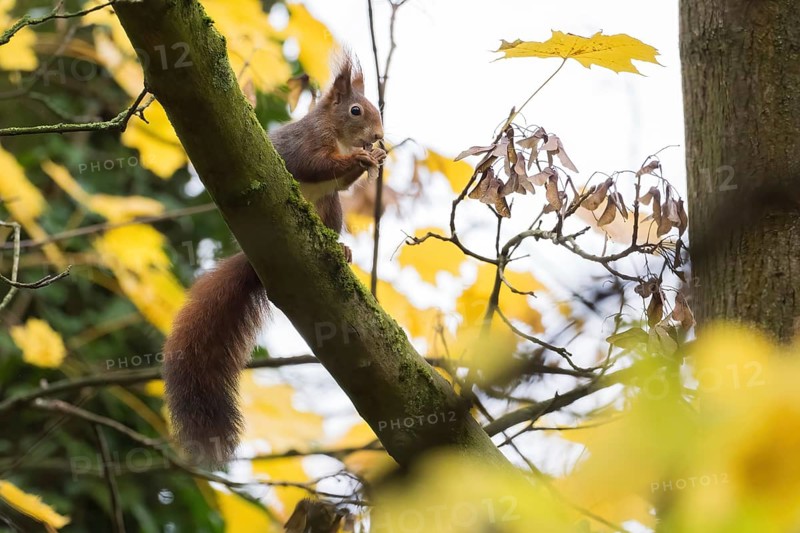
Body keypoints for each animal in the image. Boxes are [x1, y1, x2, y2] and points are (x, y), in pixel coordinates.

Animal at [162, 55, 385, 465]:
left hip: (331, 209)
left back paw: (342, 250)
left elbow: (342, 181)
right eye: (356, 110)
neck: (335, 132)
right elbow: (315, 165)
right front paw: (361, 156)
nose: (378, 136)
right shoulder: (306, 145)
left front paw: (372, 158)